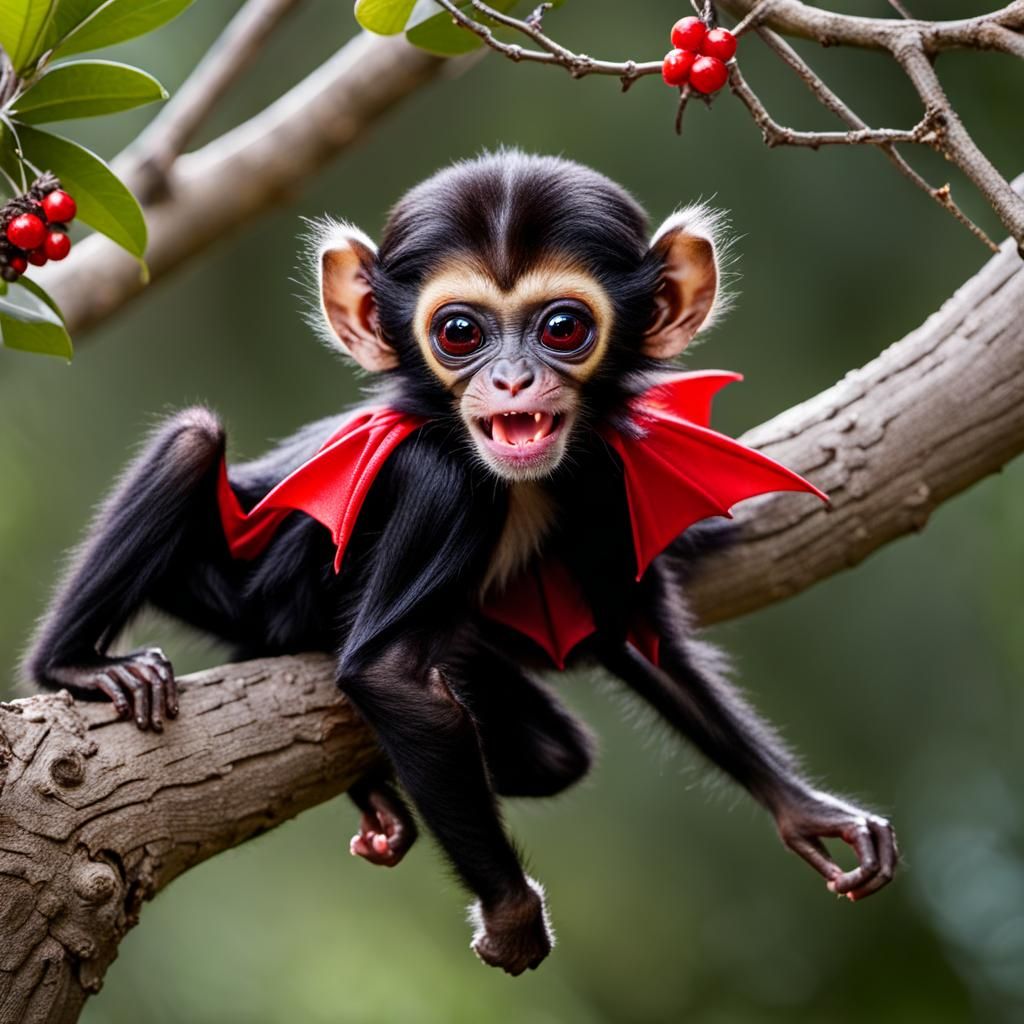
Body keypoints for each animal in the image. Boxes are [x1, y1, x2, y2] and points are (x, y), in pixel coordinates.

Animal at [24, 151, 898, 976]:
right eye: (460, 334)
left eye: (562, 327)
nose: (512, 381)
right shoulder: (439, 483)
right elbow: (386, 673)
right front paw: (512, 915)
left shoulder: (604, 478)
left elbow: (635, 639)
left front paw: (804, 809)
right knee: (193, 441)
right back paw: (75, 665)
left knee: (554, 753)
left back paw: (377, 788)